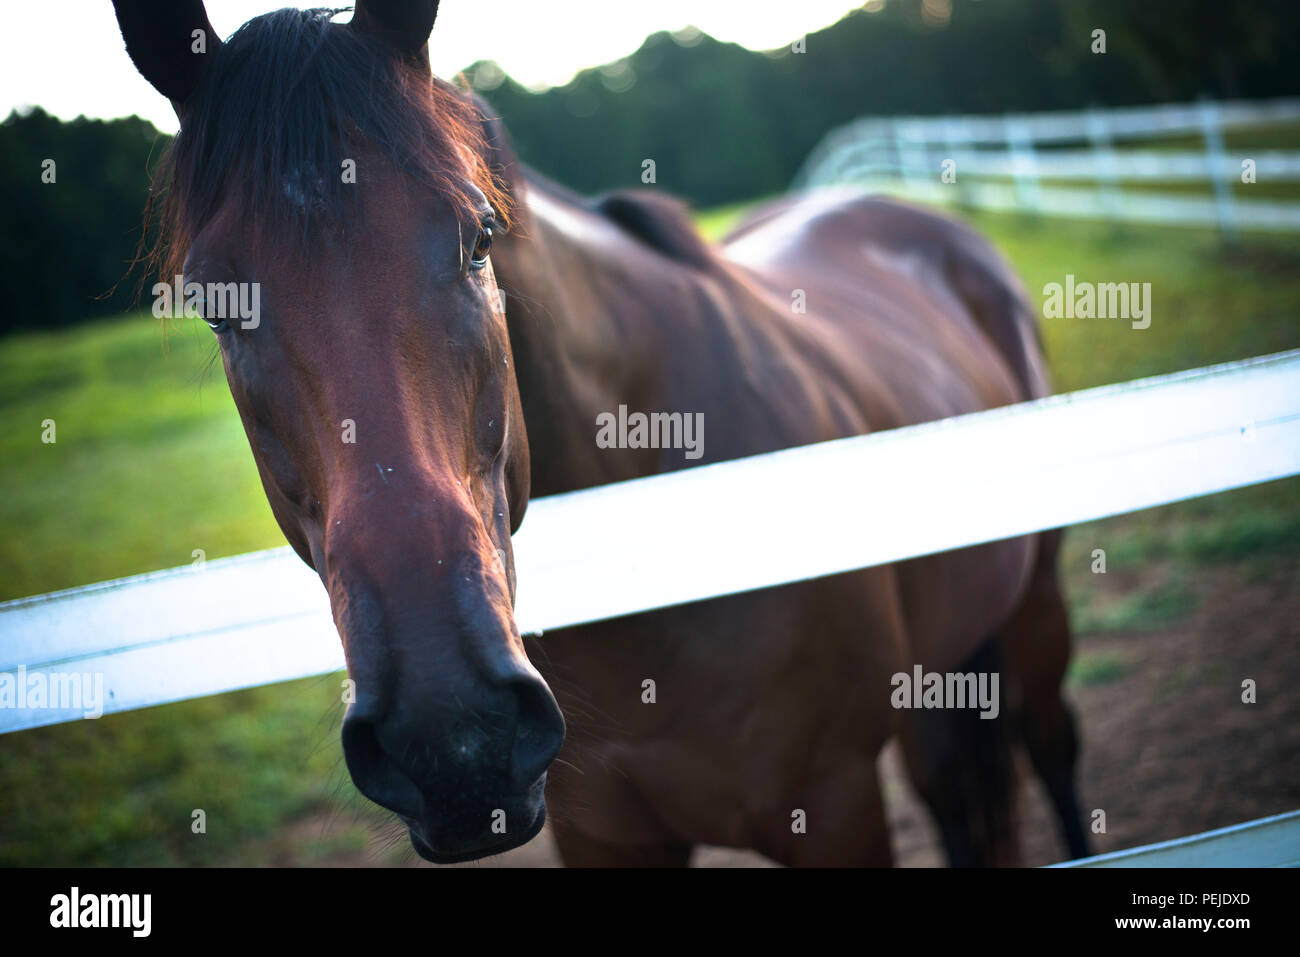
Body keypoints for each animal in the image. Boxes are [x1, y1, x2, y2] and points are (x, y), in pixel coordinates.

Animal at [112, 0, 1090, 866]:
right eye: (214, 304)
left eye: (480, 237)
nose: (452, 733)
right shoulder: (603, 836)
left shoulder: (836, 808)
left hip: (1035, 605)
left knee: (1052, 748)